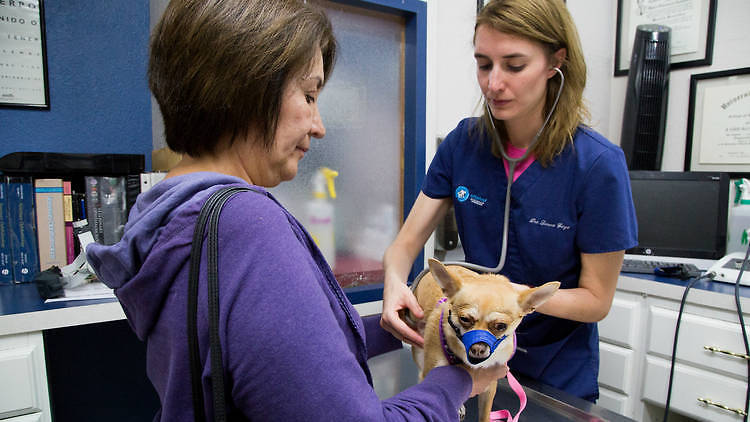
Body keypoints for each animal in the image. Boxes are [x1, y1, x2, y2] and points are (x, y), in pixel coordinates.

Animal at [408, 258, 560, 422]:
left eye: (501, 326)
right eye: (464, 319)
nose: (478, 348)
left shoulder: (490, 385)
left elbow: (484, 415)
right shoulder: (431, 376)